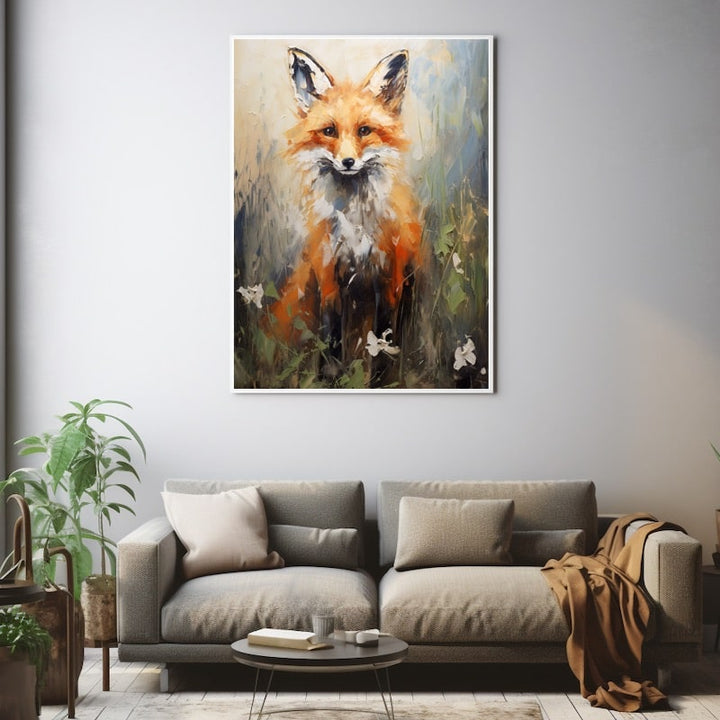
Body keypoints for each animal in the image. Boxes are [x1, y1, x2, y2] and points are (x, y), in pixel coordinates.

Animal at [267, 46, 423, 380]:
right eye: (329, 131)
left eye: (364, 131)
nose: (348, 162)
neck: (355, 223)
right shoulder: (328, 273)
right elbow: (331, 334)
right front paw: (330, 376)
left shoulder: (388, 275)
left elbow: (384, 336)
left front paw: (380, 380)